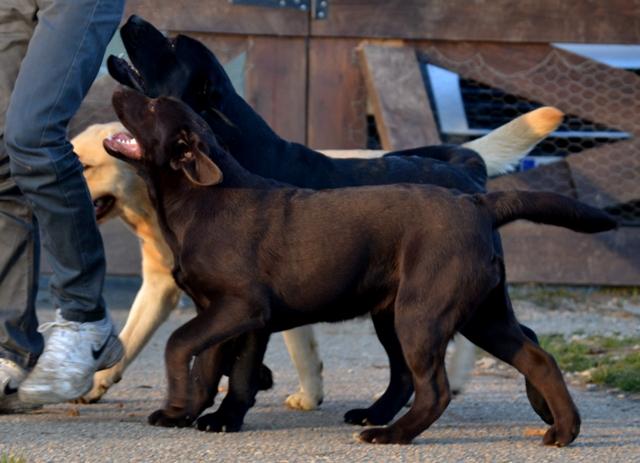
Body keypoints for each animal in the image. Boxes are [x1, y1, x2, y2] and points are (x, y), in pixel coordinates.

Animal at [106, 89, 620, 446]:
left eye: (151, 107)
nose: (114, 88)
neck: (199, 199)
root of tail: (475, 201)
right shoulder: (232, 314)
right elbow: (222, 368)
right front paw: (199, 416)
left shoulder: (238, 307)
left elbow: (180, 345)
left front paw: (180, 405)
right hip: (473, 312)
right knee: (536, 356)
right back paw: (563, 430)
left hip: (421, 313)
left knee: (433, 387)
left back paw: (391, 434)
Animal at [109, 15, 556, 428]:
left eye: (171, 44)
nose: (132, 17)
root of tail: (470, 172)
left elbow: (242, 361)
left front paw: (228, 409)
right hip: (395, 310)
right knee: (412, 371)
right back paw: (378, 413)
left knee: (506, 342)